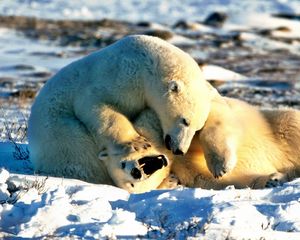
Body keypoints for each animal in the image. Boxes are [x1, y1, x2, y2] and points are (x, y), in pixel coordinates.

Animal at [27, 34, 212, 193]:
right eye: (184, 120)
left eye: (197, 128)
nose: (179, 150)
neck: (146, 66)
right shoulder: (118, 78)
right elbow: (97, 105)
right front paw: (137, 142)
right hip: (61, 135)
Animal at [133, 86, 300, 189]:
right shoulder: (187, 169)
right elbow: (219, 179)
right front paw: (270, 179)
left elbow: (213, 119)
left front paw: (221, 166)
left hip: (276, 123)